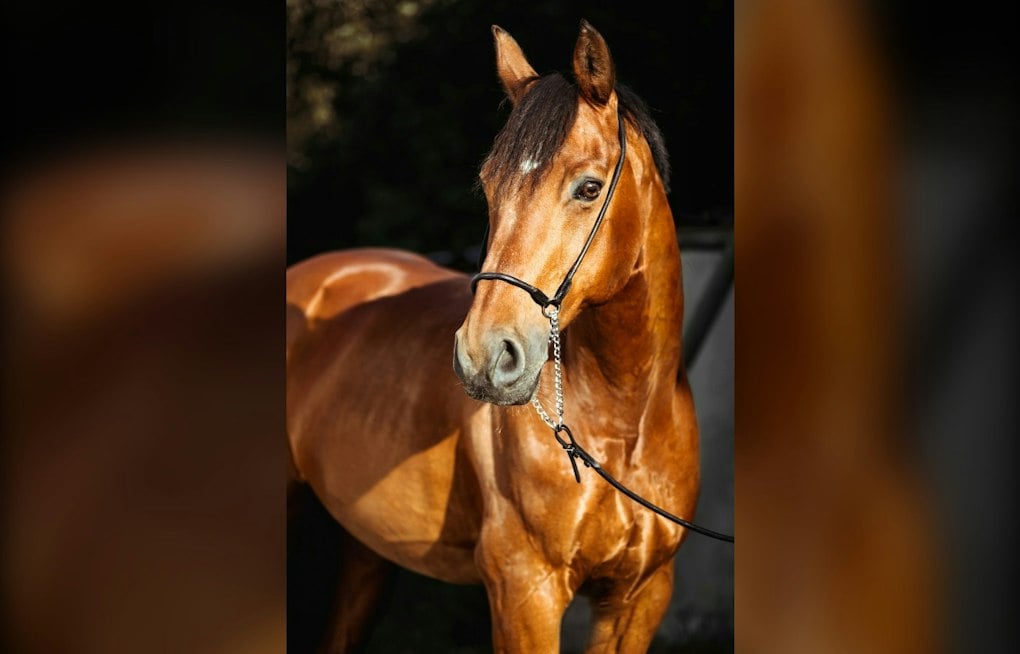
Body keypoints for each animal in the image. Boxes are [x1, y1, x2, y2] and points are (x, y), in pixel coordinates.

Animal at [287, 21, 702, 652]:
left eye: (588, 188)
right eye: (488, 186)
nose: (483, 357)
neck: (621, 424)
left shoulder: (641, 597)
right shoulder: (525, 590)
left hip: (366, 551)